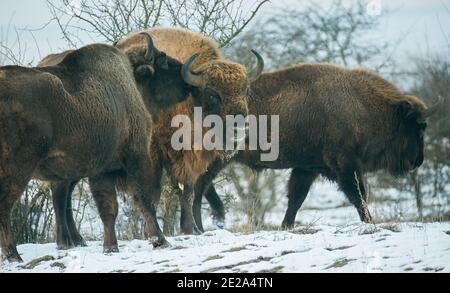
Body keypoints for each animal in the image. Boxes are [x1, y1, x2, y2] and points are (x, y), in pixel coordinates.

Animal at [192, 62, 440, 230]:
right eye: (419, 127)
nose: (418, 160)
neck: (362, 105)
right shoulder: (346, 165)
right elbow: (358, 196)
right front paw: (370, 223)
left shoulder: (307, 168)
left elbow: (296, 199)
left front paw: (286, 226)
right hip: (218, 158)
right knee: (199, 187)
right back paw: (201, 225)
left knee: (203, 186)